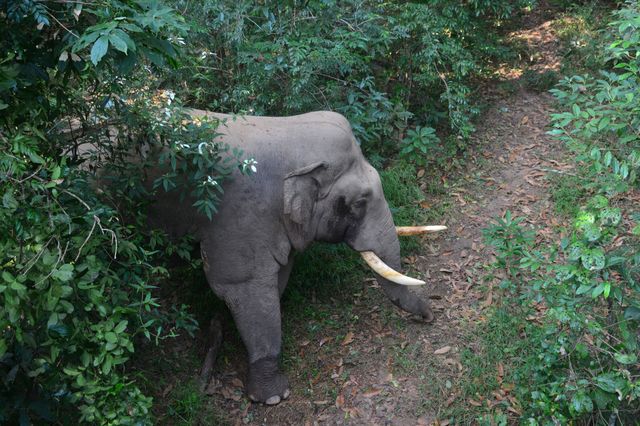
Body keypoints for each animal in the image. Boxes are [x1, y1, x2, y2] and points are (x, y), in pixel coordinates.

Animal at [146, 108, 444, 404]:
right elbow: (244, 286)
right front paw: (273, 397)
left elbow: (275, 280)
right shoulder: (236, 216)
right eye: (359, 202)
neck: (283, 129)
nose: (430, 315)